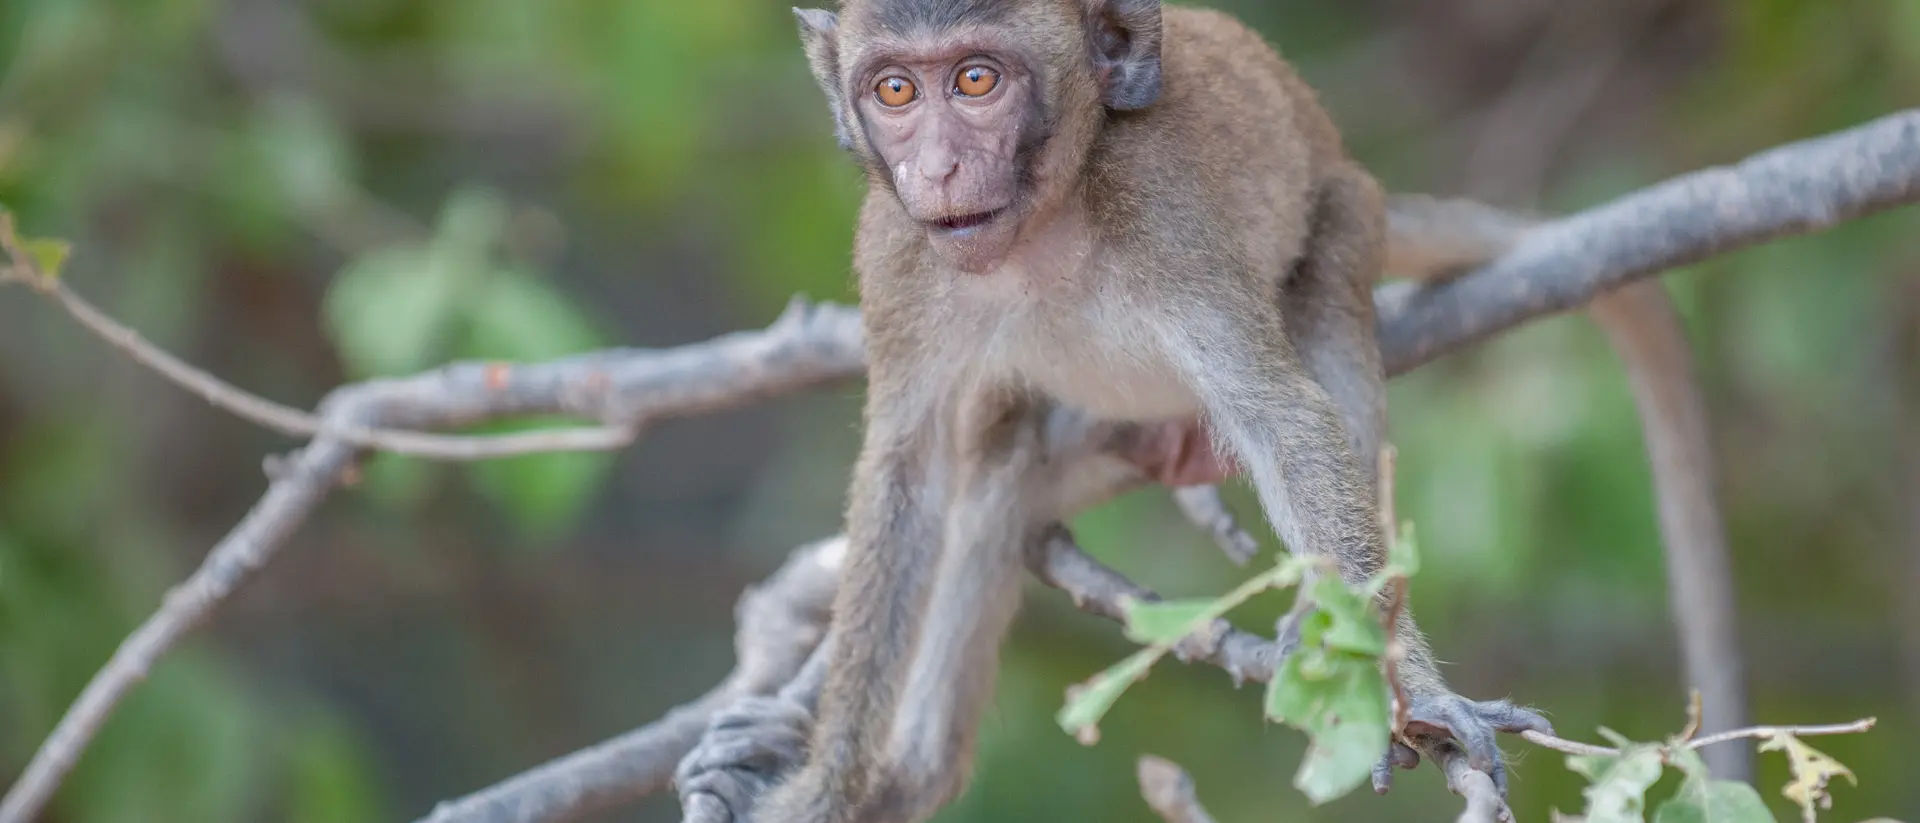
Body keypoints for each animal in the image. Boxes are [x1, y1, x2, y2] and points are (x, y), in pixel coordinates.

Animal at [678, 2, 1551, 821]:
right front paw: (827, 788)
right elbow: (909, 479)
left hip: (1347, 204)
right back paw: (911, 775)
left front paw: (1411, 685)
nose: (937, 167)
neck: (1038, 234)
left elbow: (1286, 419)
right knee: (992, 449)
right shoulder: (896, 254)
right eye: (895, 90)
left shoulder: (1162, 214)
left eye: (976, 80)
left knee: (1326, 292)